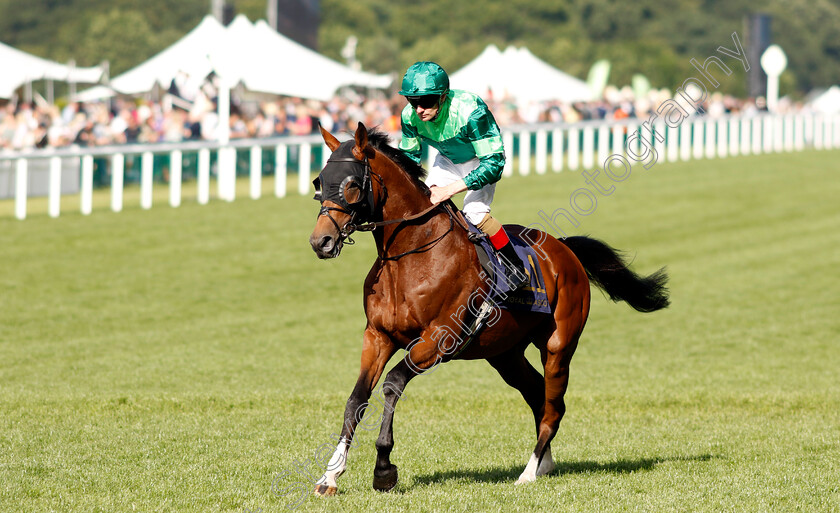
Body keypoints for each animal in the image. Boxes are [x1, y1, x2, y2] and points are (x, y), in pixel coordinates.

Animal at [306, 122, 668, 494]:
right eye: (319, 182)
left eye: (351, 184)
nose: (321, 242)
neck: (410, 257)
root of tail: (565, 249)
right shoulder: (378, 336)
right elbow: (357, 398)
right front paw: (330, 475)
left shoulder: (437, 340)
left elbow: (392, 384)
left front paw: (383, 469)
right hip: (505, 354)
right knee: (538, 394)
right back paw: (545, 463)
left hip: (558, 346)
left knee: (554, 407)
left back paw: (529, 471)